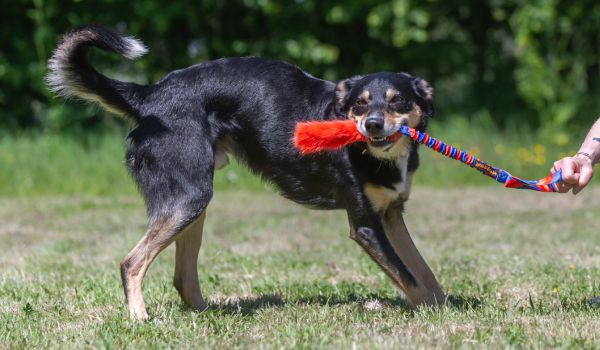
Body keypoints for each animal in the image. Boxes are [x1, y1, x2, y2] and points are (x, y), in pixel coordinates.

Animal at [47, 25, 446, 320]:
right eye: (360, 104)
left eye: (397, 100)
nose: (372, 125)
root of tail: (150, 96)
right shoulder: (365, 225)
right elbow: (407, 276)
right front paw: (429, 312)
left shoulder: (392, 215)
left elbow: (422, 269)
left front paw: (444, 305)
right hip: (188, 198)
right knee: (131, 263)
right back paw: (140, 318)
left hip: (193, 203)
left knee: (183, 278)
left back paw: (210, 315)